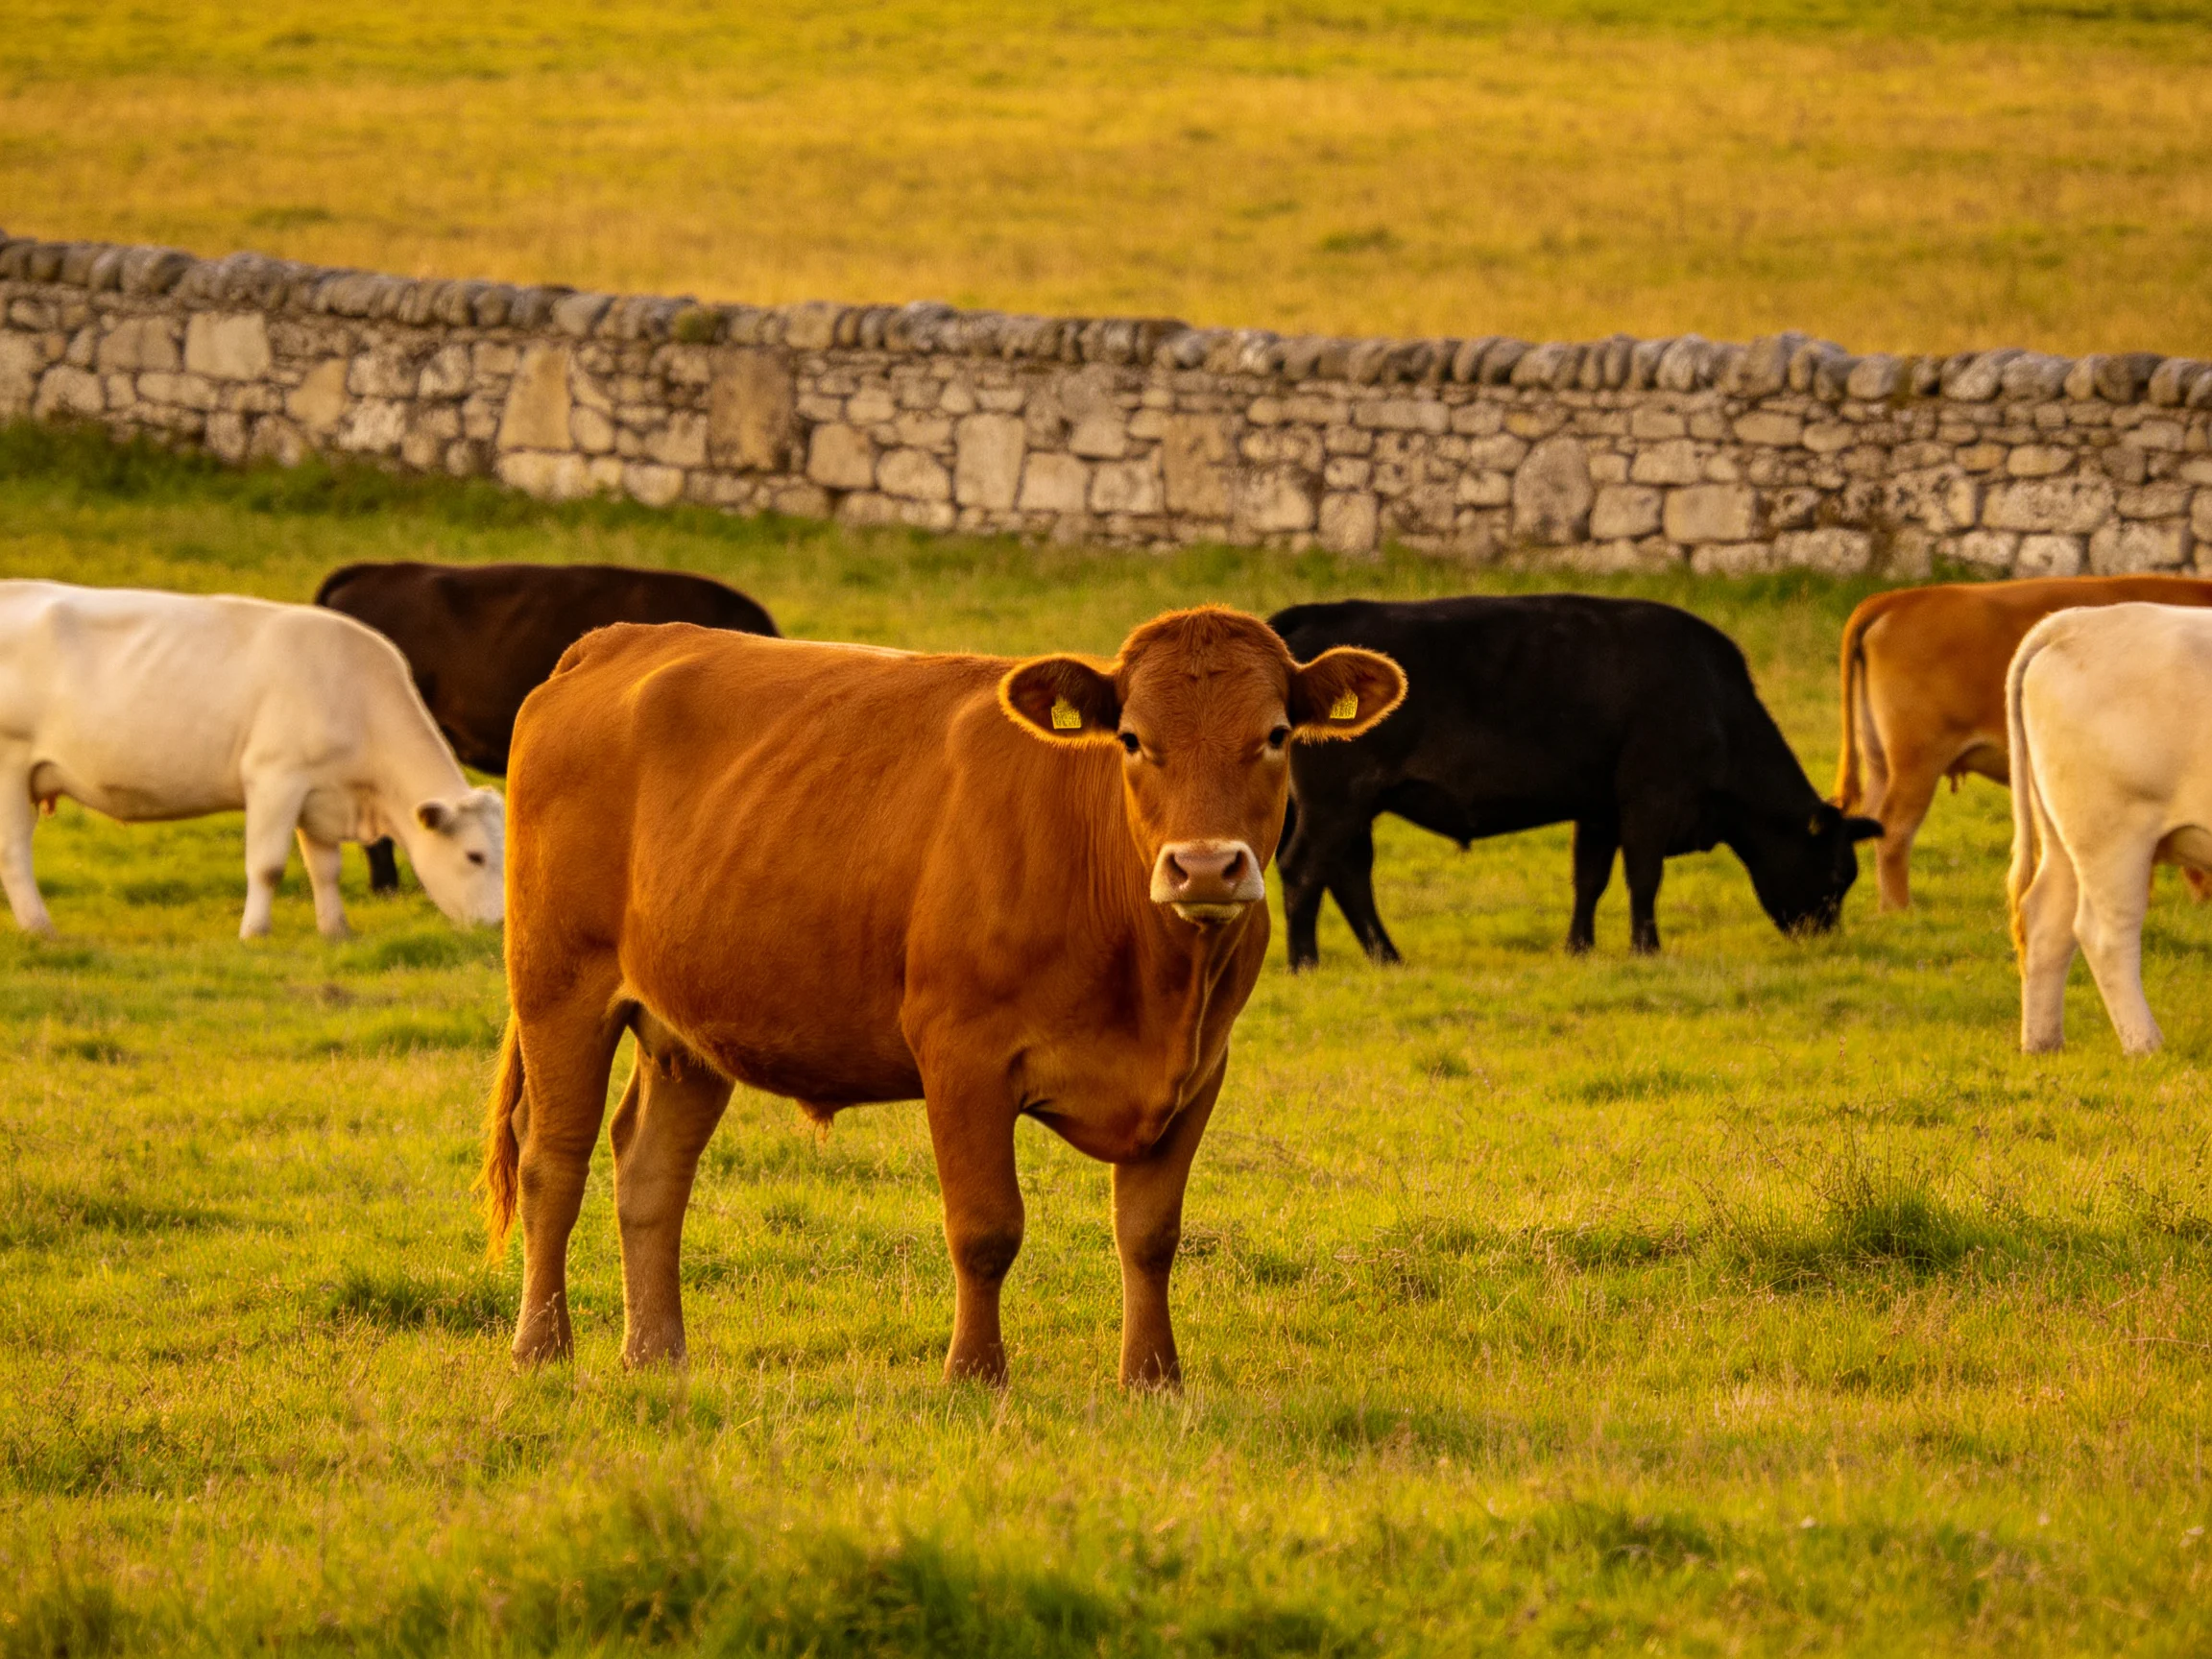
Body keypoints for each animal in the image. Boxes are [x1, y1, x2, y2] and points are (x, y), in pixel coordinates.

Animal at [0, 580, 504, 940]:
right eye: (474, 855)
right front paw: (255, 933)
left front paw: (337, 931)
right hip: (11, 766)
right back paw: (40, 929)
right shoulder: (275, 778)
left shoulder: (320, 792)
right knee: (13, 852)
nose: (501, 925)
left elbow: (326, 869)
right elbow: (267, 866)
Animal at [476, 607, 1404, 1386]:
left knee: (652, 1170)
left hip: (688, 1025)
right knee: (553, 1159)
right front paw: (975, 1373)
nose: (1205, 867)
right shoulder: (963, 1056)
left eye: (1277, 735)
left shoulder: (1199, 1069)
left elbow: (1149, 1235)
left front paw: (1152, 1378)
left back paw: (656, 1352)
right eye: (1134, 739)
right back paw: (542, 1347)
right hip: (559, 984)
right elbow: (986, 1228)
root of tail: (623, 638)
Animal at [1267, 594, 1881, 965]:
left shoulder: (1599, 808)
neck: (1714, 702)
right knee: (1305, 870)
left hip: (1351, 806)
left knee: (1348, 875)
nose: (1824, 936)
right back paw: (1305, 962)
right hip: (1335, 801)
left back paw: (1387, 957)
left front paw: (1579, 948)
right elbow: (1643, 877)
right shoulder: (1649, 799)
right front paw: (1646, 948)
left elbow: (1590, 879)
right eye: (1836, 874)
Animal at [2008, 603, 2212, 1056]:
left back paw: (2042, 1042)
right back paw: (2145, 1044)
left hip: (2064, 836)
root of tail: (2078, 619)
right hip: (2112, 834)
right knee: (2105, 934)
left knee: (2045, 920)